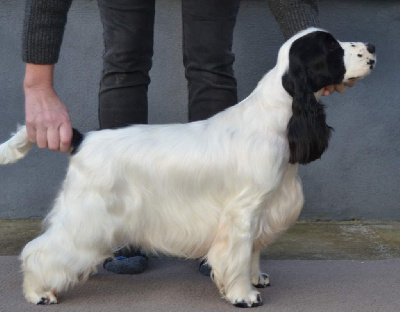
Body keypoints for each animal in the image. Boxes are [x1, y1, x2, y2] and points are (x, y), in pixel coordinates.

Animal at [0, 28, 376, 308]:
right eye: (331, 46)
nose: (371, 46)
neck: (276, 117)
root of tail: (82, 139)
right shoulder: (243, 210)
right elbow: (239, 253)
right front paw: (244, 295)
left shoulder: (264, 206)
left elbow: (253, 250)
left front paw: (256, 279)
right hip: (87, 216)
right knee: (38, 250)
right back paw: (38, 293)